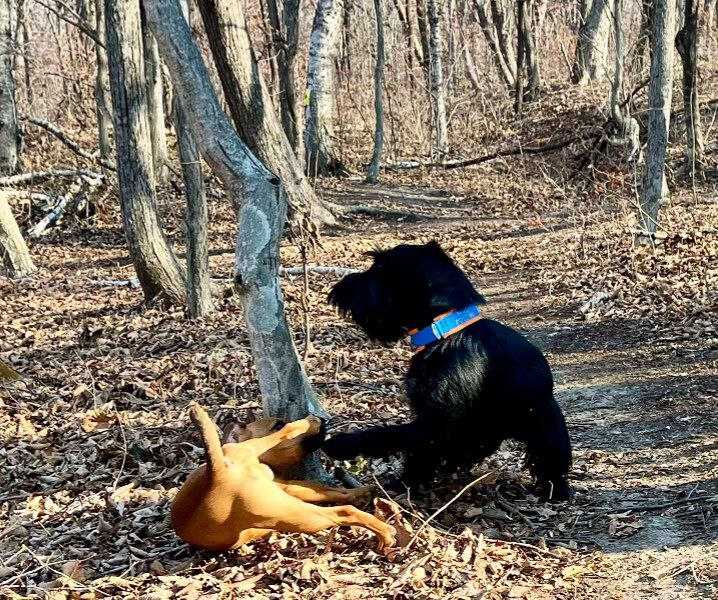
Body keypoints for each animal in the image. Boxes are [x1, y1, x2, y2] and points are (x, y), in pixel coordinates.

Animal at [173, 404, 400, 552]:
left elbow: (329, 490)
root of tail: (216, 472)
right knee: (343, 512)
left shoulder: (289, 487)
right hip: (297, 516)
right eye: (275, 423)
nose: (323, 422)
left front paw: (360, 492)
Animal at [324, 241, 576, 500]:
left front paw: (344, 444)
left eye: (381, 268)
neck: (446, 330)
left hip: (545, 427)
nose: (340, 289)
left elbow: (389, 436)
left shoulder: (433, 425)